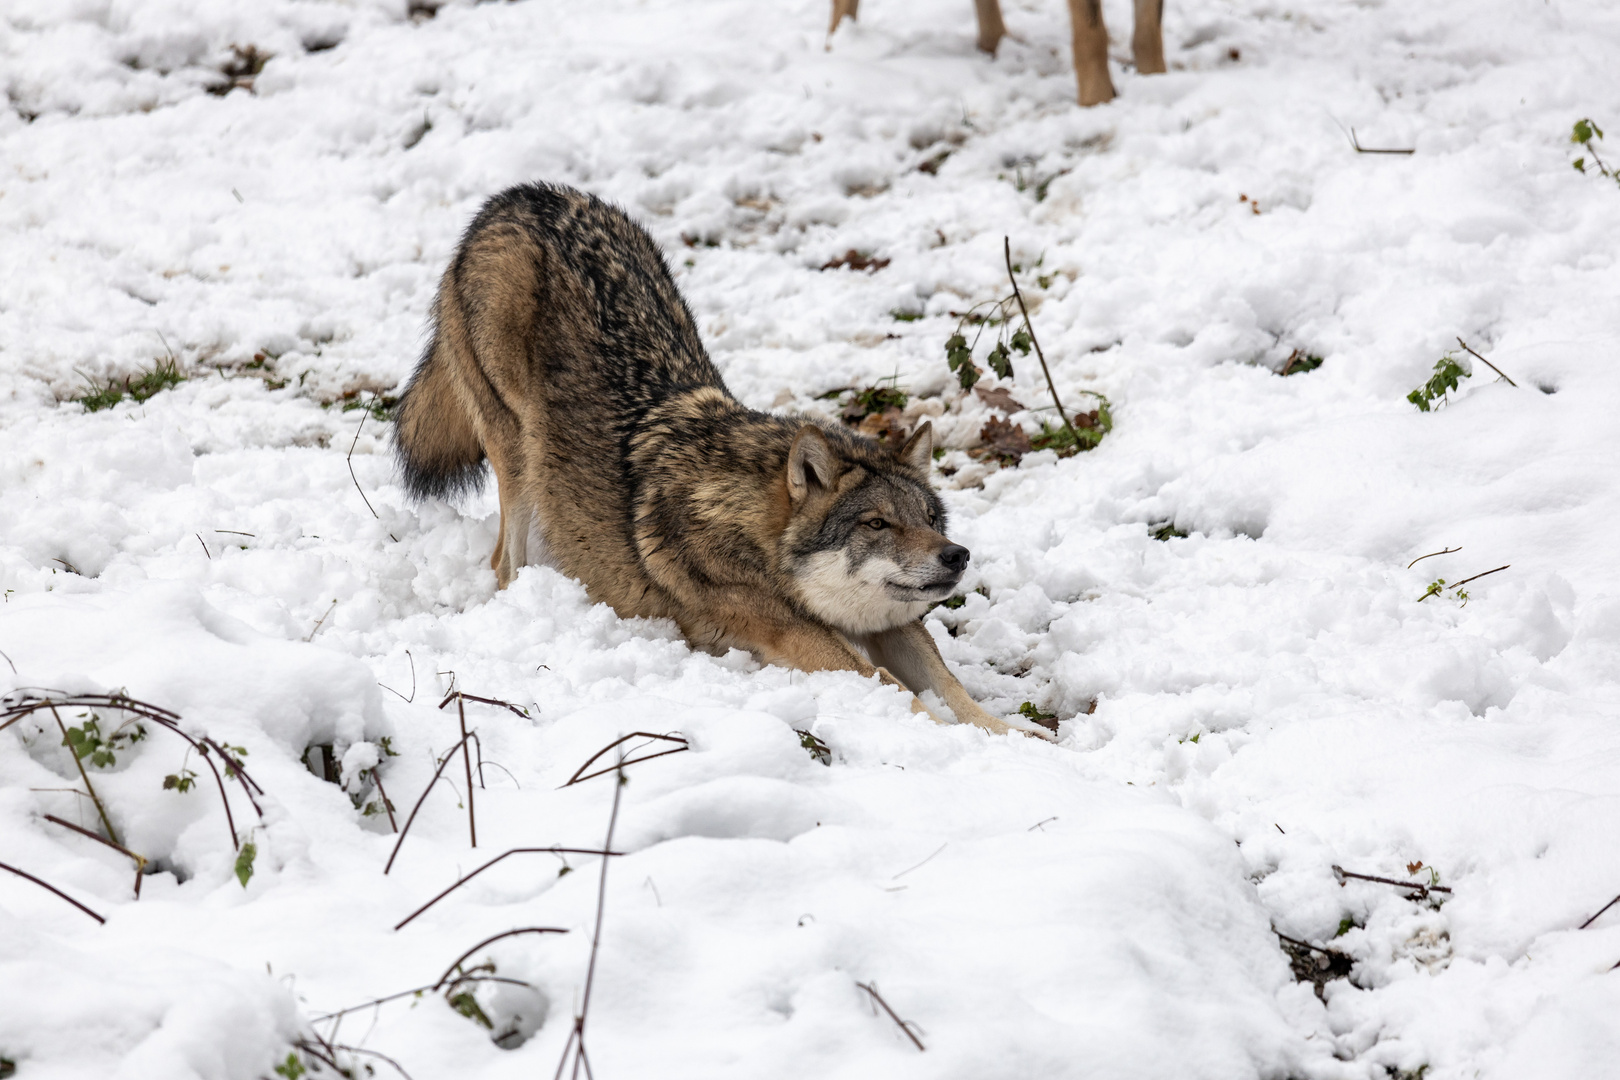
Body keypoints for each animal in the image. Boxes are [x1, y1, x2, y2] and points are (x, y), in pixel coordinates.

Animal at [392, 186, 1049, 744]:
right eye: (876, 524)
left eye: (930, 520)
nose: (956, 555)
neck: (756, 537)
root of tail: (522, 194)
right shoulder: (803, 639)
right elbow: (899, 692)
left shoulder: (889, 621)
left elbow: (953, 688)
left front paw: (1018, 736)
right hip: (518, 456)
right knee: (503, 560)